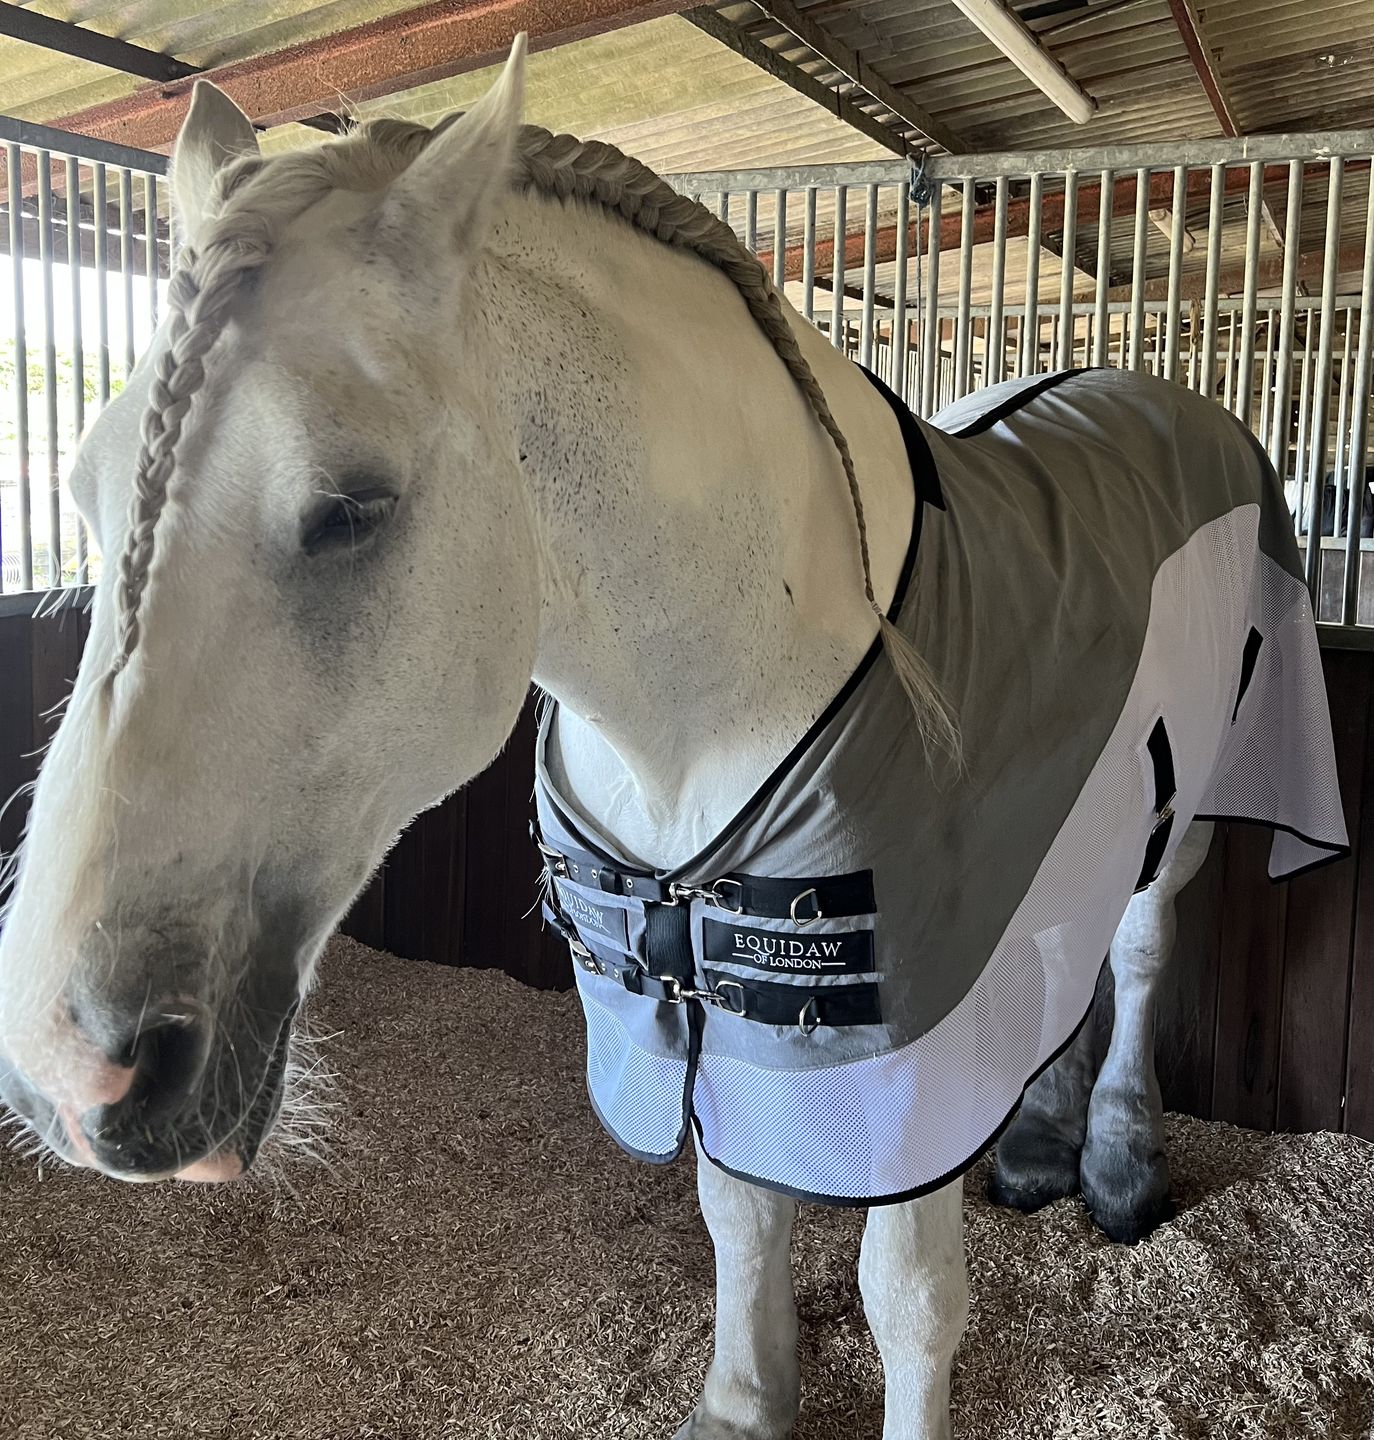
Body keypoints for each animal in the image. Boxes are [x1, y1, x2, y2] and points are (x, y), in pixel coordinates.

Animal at [0, 40, 1346, 1440]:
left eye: (351, 506)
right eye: (83, 487)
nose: (65, 1068)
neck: (722, 685)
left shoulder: (898, 1022)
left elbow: (909, 1292)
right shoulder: (697, 983)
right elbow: (736, 1209)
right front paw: (746, 1399)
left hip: (1183, 815)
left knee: (1136, 948)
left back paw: (1121, 1161)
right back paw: (1033, 1149)